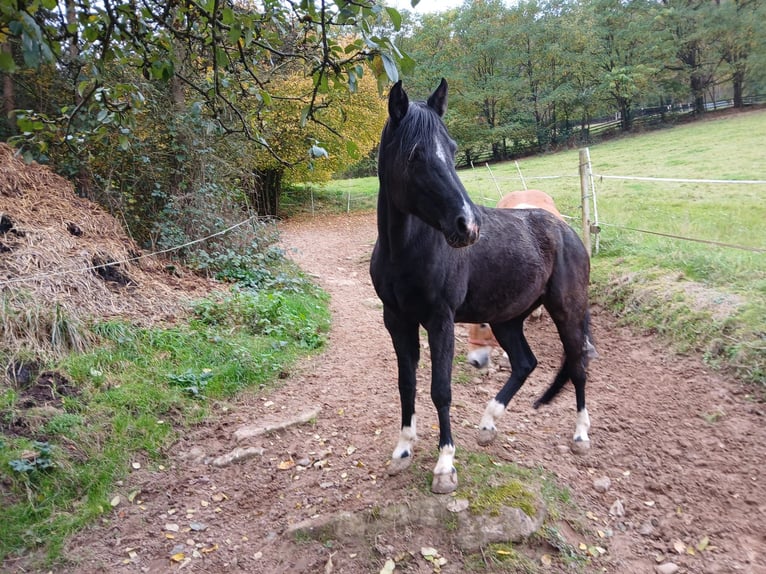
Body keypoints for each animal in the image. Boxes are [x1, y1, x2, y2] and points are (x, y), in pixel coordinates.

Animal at [368, 79, 596, 498]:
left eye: (453, 148)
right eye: (415, 154)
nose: (468, 226)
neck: (407, 251)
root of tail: (567, 231)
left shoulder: (440, 321)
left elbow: (440, 389)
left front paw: (445, 466)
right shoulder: (396, 321)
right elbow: (406, 383)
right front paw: (403, 450)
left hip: (567, 311)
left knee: (577, 364)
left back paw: (581, 435)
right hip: (508, 319)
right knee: (525, 363)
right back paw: (488, 424)